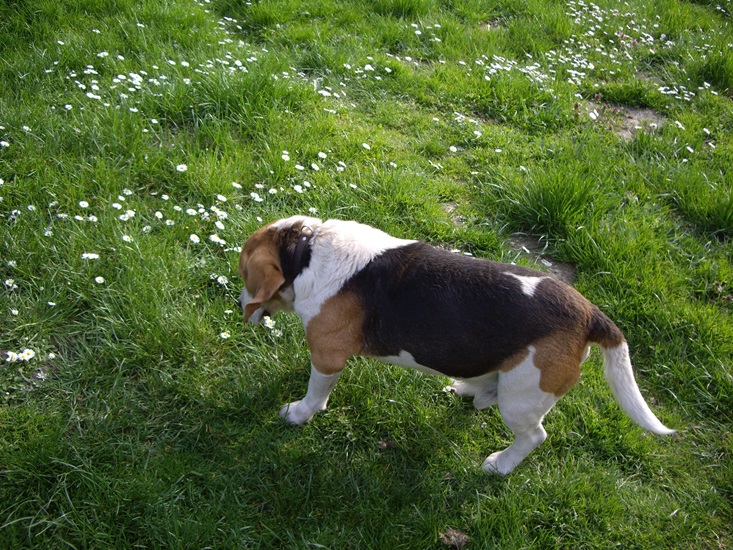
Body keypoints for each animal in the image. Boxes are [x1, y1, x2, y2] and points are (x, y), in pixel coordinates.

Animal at [237, 218, 672, 476]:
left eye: (242, 273)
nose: (242, 305)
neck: (306, 249)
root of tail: (590, 314)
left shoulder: (328, 356)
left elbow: (315, 393)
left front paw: (298, 413)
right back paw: (468, 389)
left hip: (523, 397)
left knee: (534, 436)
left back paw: (500, 465)